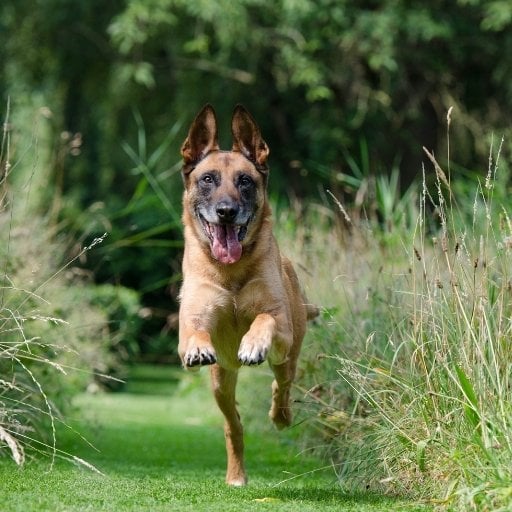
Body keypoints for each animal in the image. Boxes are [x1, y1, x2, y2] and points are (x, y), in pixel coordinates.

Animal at [178, 103, 318, 484]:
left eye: (245, 181)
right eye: (208, 179)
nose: (226, 211)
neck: (230, 272)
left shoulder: (279, 322)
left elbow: (265, 319)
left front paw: (253, 343)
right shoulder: (194, 317)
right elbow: (194, 331)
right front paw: (198, 346)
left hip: (288, 356)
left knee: (281, 387)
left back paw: (281, 416)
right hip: (221, 382)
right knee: (234, 425)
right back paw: (236, 474)